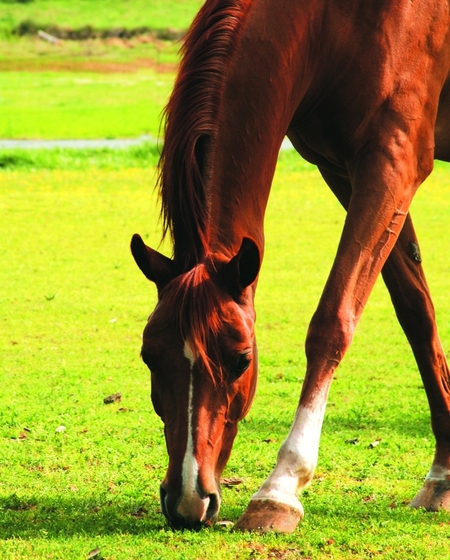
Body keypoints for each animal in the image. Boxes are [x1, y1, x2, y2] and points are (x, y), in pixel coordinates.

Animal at [130, 0, 450, 532]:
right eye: (149, 356)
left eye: (241, 359)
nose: (188, 500)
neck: (335, 21)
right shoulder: (344, 169)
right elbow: (416, 313)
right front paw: (443, 473)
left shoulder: (393, 162)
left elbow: (333, 321)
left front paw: (279, 489)